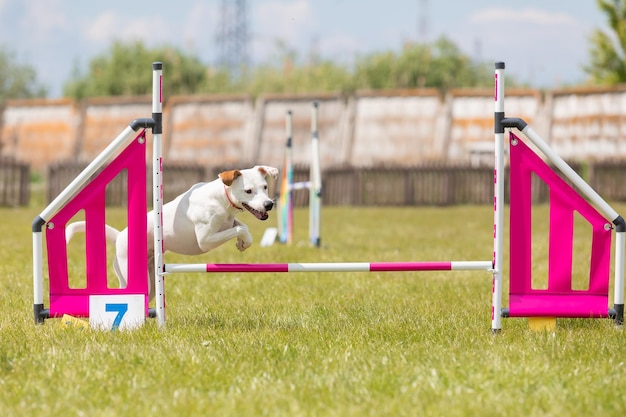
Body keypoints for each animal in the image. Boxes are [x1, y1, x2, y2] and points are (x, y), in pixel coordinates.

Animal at [66, 164, 278, 298]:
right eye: (248, 191)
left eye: (265, 186)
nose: (269, 204)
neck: (221, 198)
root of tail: (119, 236)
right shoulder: (205, 240)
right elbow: (237, 229)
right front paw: (242, 240)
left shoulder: (229, 222)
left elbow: (242, 227)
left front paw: (243, 243)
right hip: (133, 275)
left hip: (151, 281)